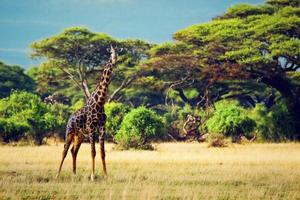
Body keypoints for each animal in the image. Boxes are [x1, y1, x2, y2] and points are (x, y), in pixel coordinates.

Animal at [55, 46, 118, 180]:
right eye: (111, 52)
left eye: (118, 52)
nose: (115, 59)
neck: (100, 102)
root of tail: (70, 118)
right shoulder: (91, 128)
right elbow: (93, 152)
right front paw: (93, 176)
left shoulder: (102, 128)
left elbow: (102, 152)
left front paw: (106, 175)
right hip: (69, 132)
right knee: (64, 151)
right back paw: (57, 175)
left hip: (80, 135)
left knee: (73, 151)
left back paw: (74, 174)